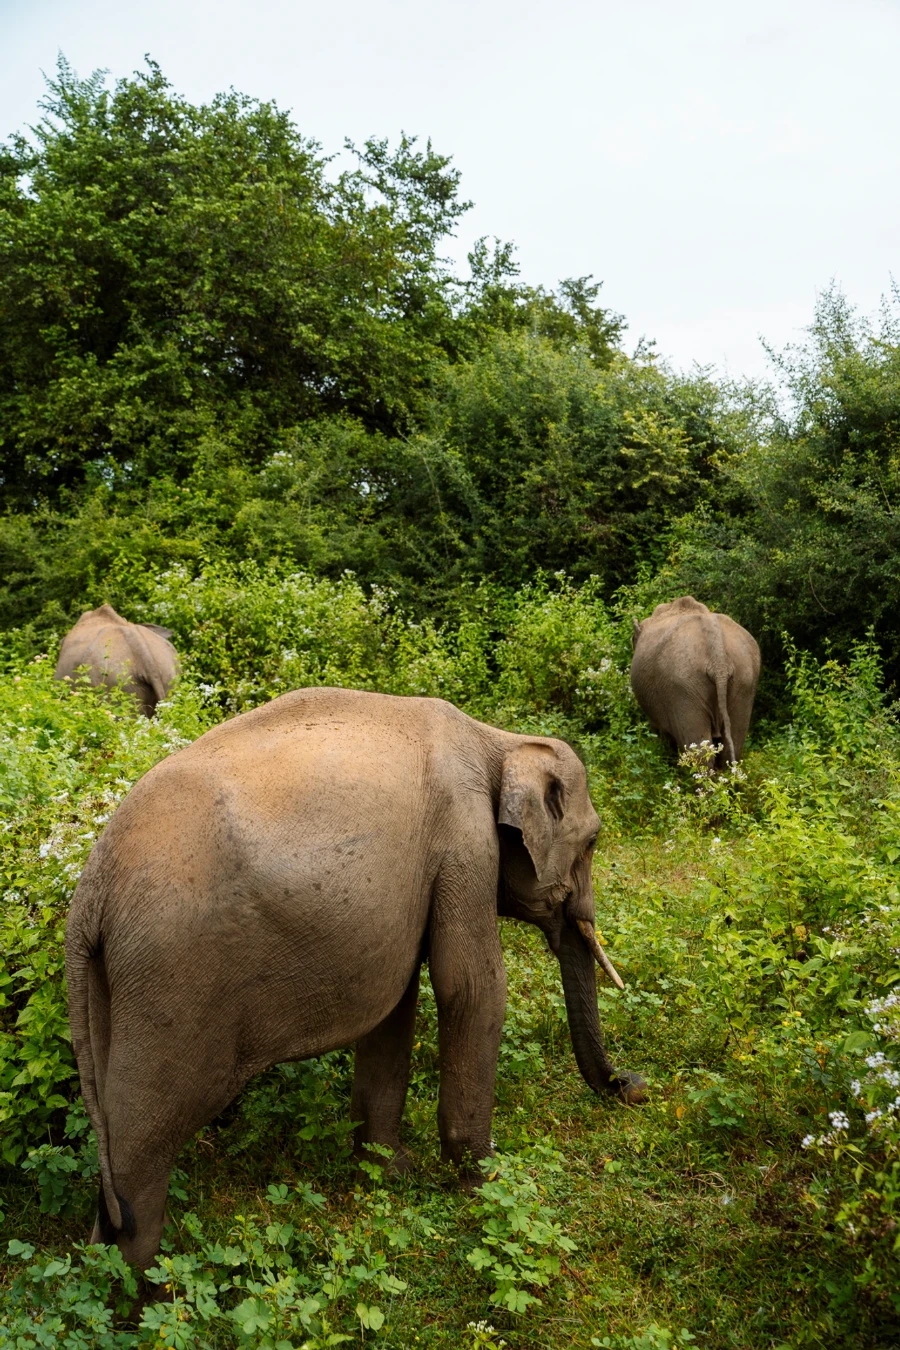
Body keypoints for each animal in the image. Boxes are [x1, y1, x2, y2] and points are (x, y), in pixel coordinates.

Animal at [66, 686, 645, 1271]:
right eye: (593, 841)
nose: (634, 1087)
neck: (496, 739)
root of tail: (91, 891)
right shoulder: (465, 843)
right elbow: (470, 988)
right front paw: (484, 1186)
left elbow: (396, 1005)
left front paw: (391, 1172)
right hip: (172, 977)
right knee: (143, 1144)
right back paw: (141, 1290)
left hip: (114, 981)